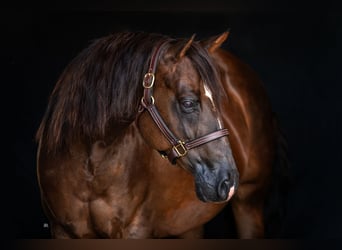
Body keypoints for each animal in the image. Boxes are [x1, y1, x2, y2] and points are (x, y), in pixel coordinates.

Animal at [35, 31, 288, 238]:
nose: (228, 180)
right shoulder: (61, 231)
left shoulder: (135, 231)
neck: (90, 168)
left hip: (249, 204)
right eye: (188, 103)